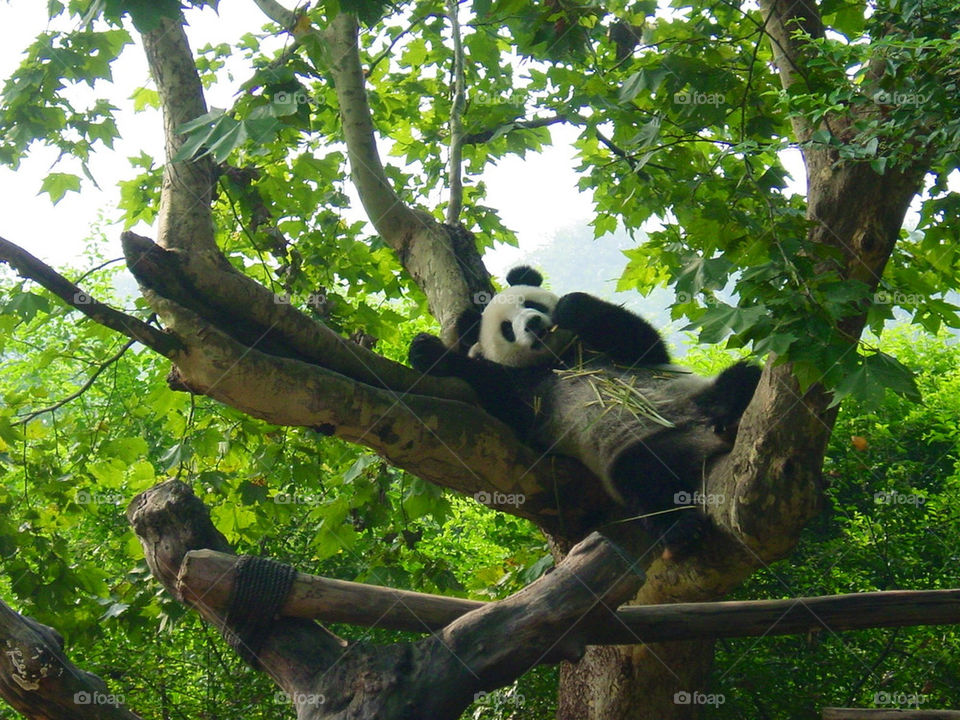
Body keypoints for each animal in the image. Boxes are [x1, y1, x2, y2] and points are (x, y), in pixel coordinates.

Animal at [409, 266, 760, 556]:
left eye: (531, 305)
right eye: (507, 329)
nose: (533, 325)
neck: (559, 359)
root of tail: (706, 440)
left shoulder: (610, 351)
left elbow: (640, 341)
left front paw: (572, 306)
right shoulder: (531, 393)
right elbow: (501, 398)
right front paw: (429, 353)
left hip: (694, 394)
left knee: (744, 377)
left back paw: (730, 407)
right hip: (636, 447)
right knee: (641, 477)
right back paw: (679, 528)